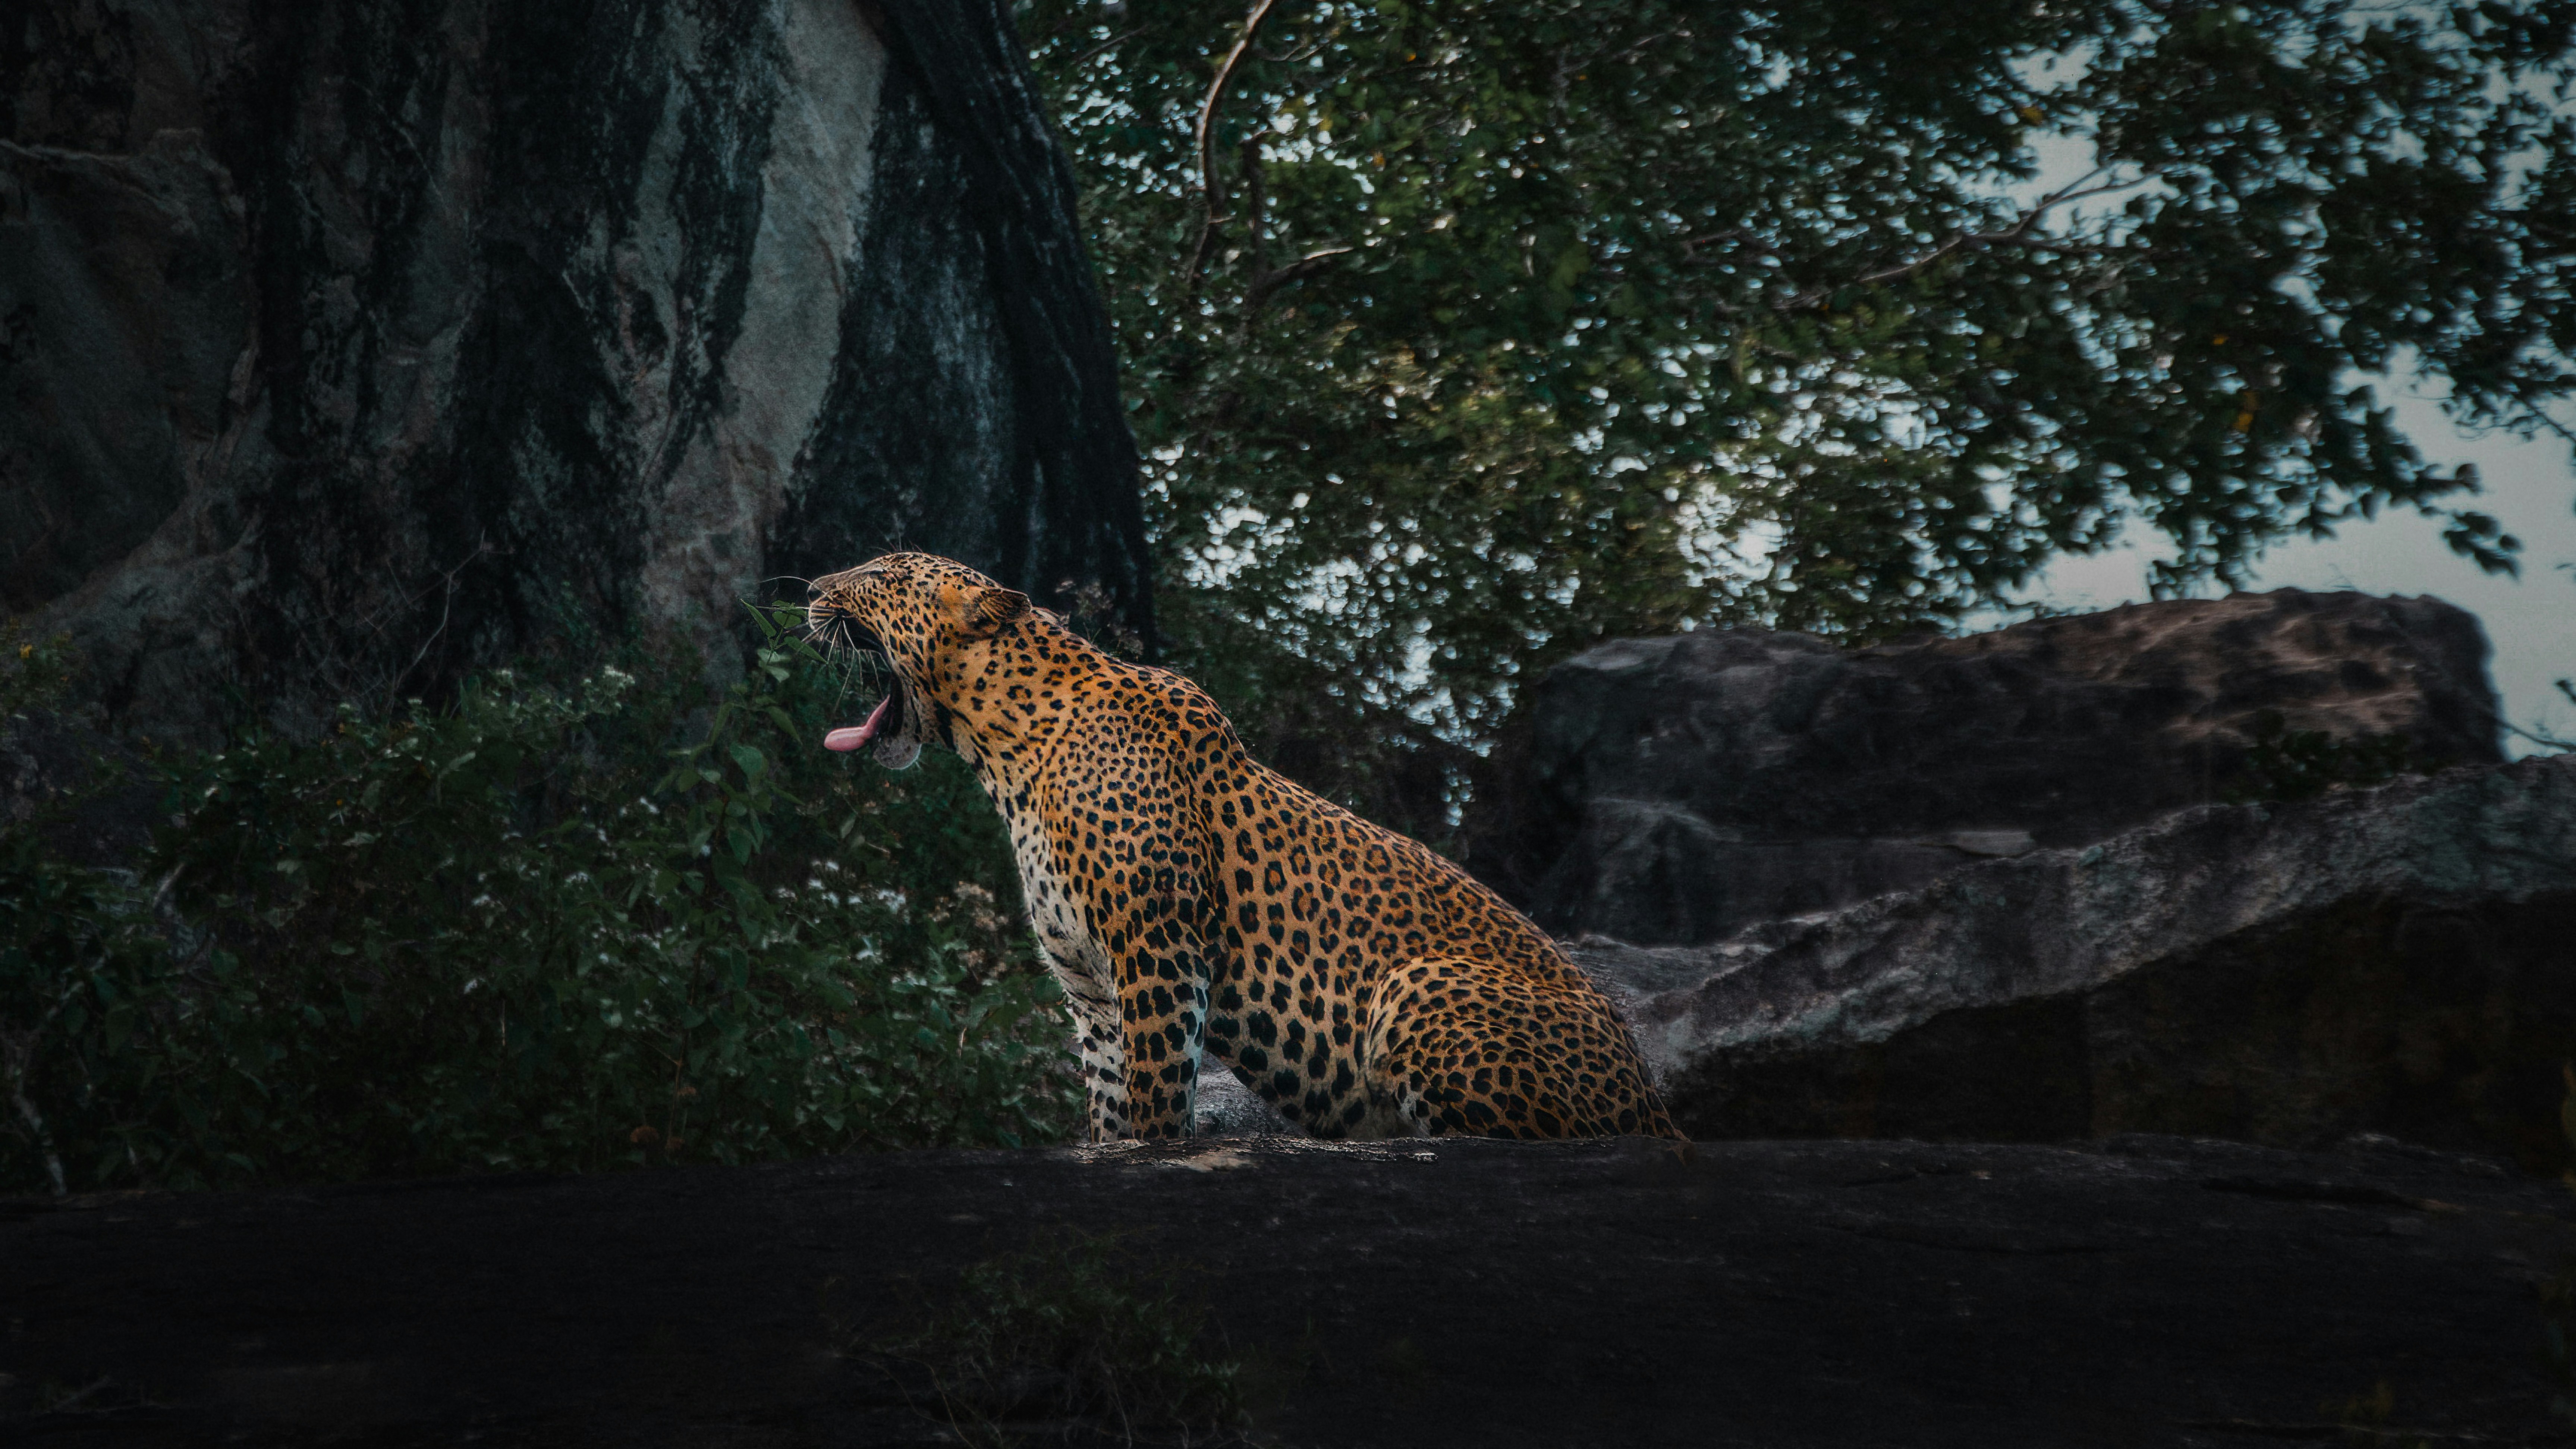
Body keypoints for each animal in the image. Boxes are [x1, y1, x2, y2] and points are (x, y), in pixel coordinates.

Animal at [807, 552, 1681, 1143]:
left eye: (880, 575)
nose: (811, 590)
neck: (1007, 753)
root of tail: (1653, 1101)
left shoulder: (1156, 947)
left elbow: (1158, 1094)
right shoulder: (1090, 987)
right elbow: (1110, 1102)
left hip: (1416, 985)